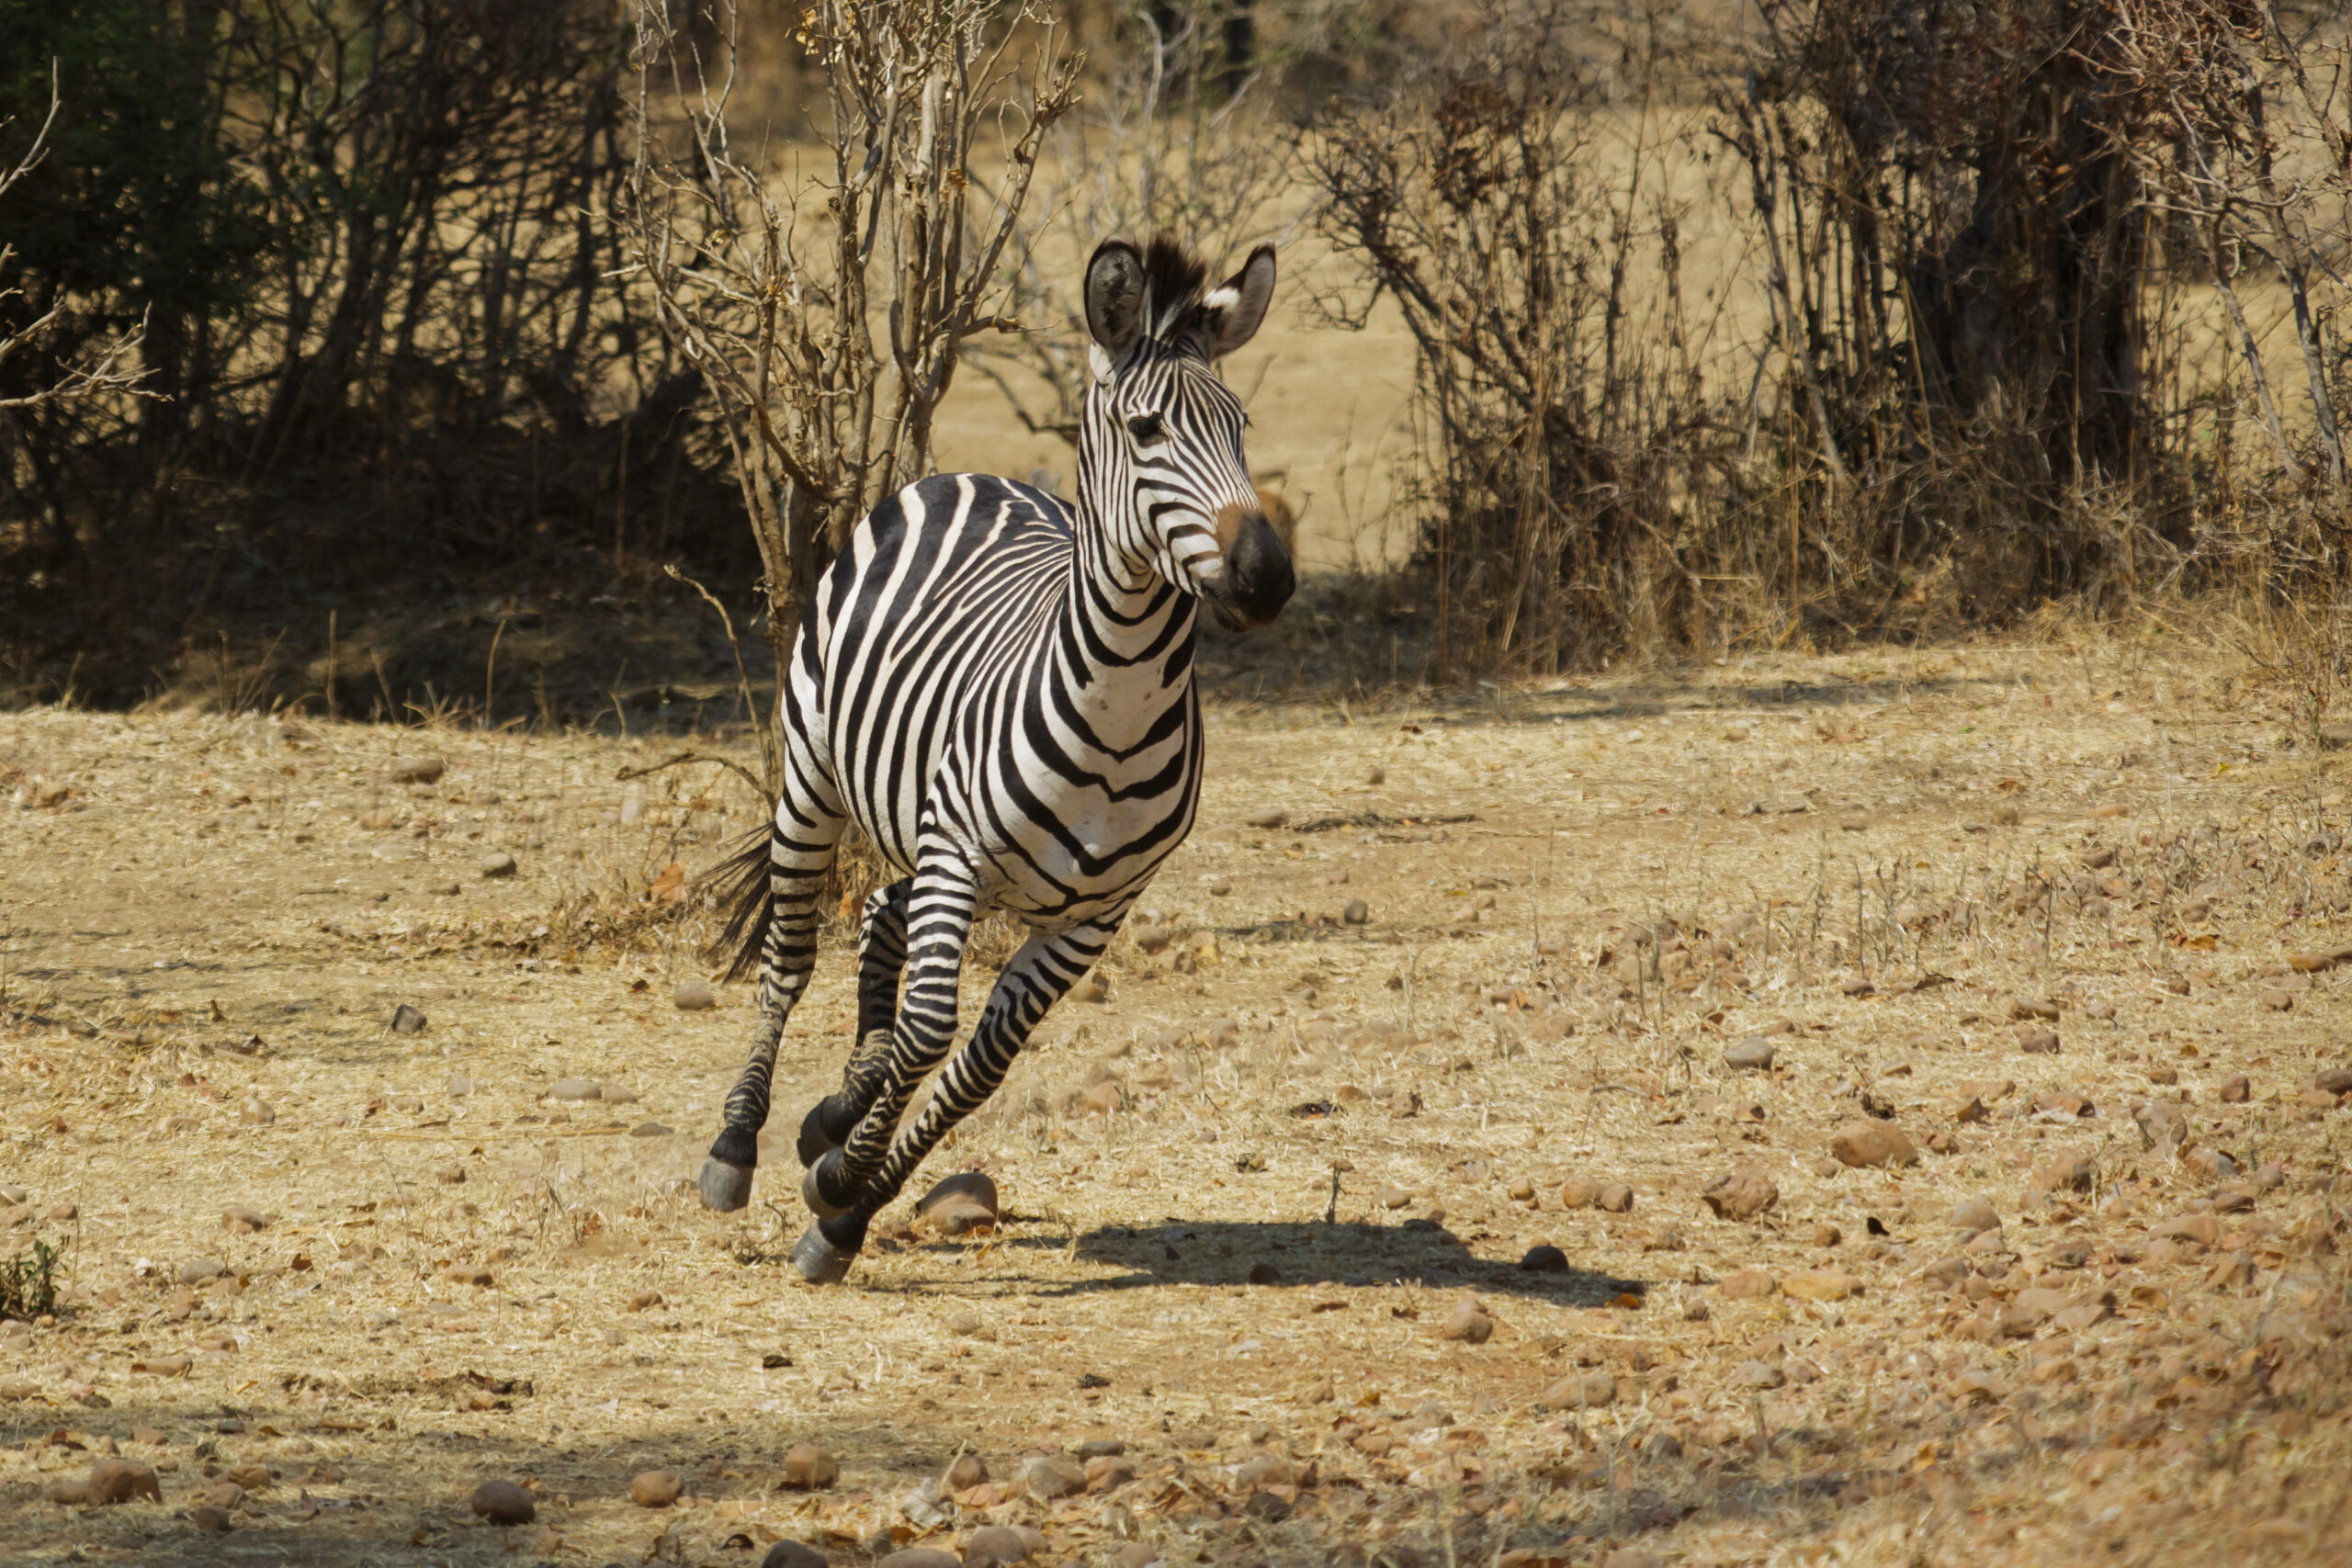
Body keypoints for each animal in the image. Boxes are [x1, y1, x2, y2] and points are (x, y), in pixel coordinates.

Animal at [700, 234, 1293, 1284]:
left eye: (1241, 427)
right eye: (1145, 429)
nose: (1268, 578)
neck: (1119, 712)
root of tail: (965, 476)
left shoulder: (1095, 916)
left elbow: (975, 1067)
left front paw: (845, 1200)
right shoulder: (960, 851)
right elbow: (930, 1031)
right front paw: (839, 1177)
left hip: (940, 840)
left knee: (878, 913)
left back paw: (835, 1112)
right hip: (817, 778)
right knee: (792, 953)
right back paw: (739, 1142)